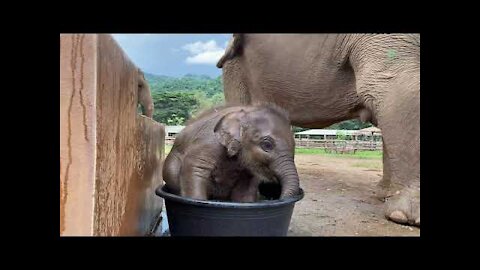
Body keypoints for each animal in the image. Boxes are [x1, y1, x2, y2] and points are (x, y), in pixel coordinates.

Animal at [163, 104, 298, 201]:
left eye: (295, 146)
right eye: (267, 145)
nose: (276, 198)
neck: (247, 111)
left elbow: (245, 189)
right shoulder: (208, 143)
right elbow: (195, 168)